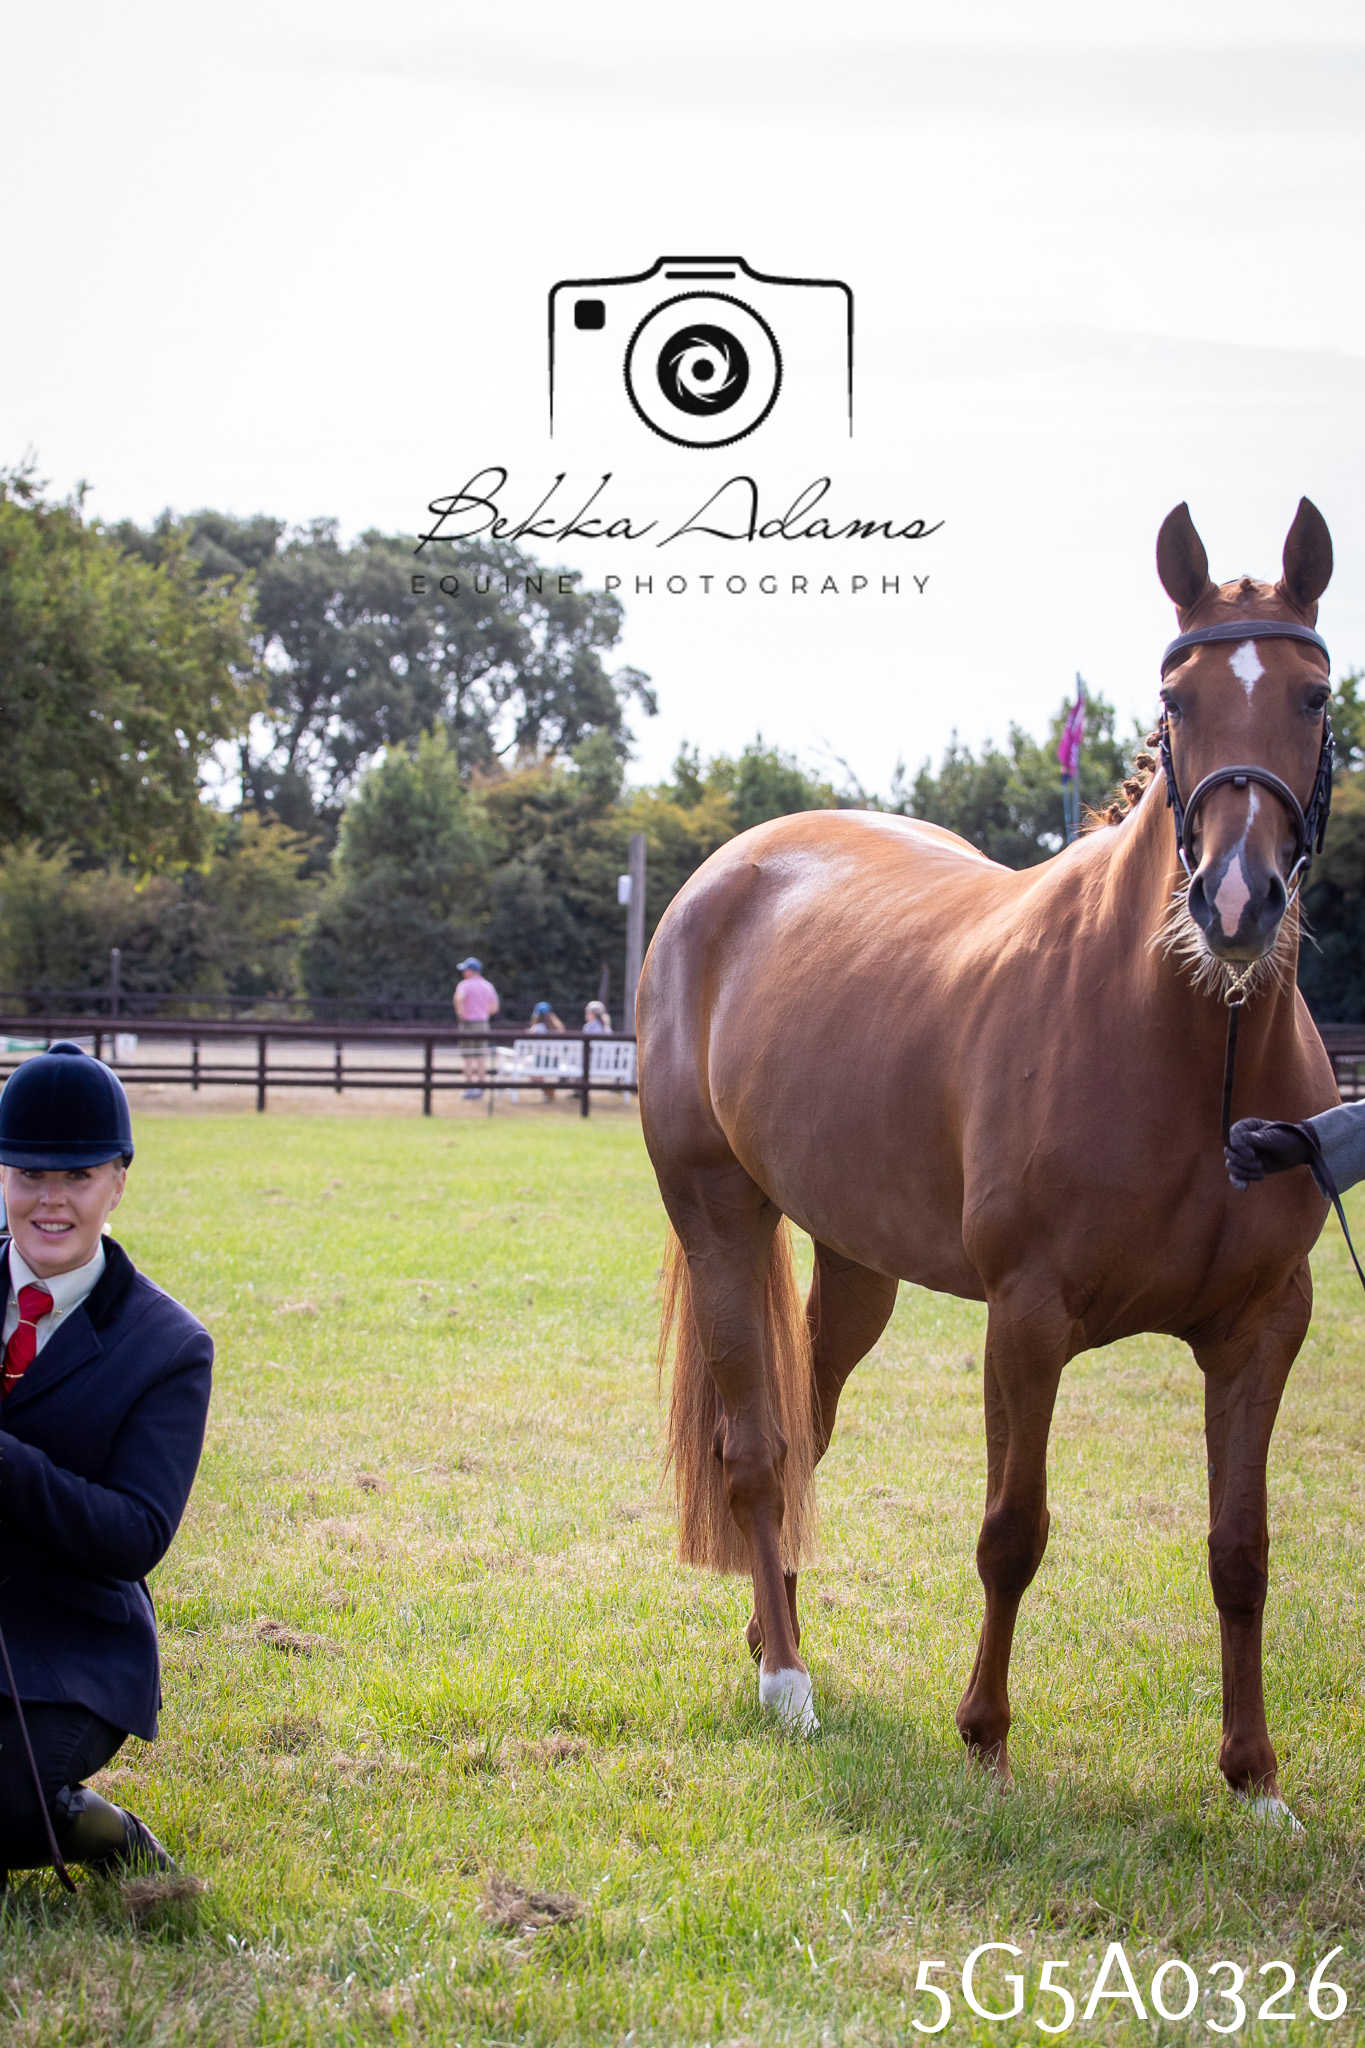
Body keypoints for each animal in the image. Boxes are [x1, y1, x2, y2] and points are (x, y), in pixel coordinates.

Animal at [637, 500, 1338, 1818]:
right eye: (1176, 699)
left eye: (1315, 694)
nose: (1236, 903)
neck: (1184, 1043)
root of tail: (721, 874)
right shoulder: (1028, 1317)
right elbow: (1014, 1528)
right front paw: (985, 1738)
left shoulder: (1264, 1324)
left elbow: (1242, 1547)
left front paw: (1255, 1777)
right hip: (721, 1216)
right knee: (758, 1452)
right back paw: (787, 1681)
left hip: (857, 1262)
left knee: (805, 1434)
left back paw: (770, 1634)